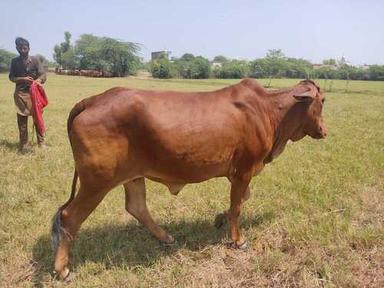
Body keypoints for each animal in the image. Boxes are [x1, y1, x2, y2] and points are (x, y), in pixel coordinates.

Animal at [51, 78, 328, 280]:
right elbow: (238, 205)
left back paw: (166, 237)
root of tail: (94, 99)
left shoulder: (239, 173)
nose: (325, 131)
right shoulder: (244, 169)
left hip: (133, 175)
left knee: (136, 207)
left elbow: (241, 200)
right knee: (70, 216)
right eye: (323, 100)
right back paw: (62, 269)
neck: (270, 111)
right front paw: (238, 240)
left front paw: (220, 218)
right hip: (96, 182)